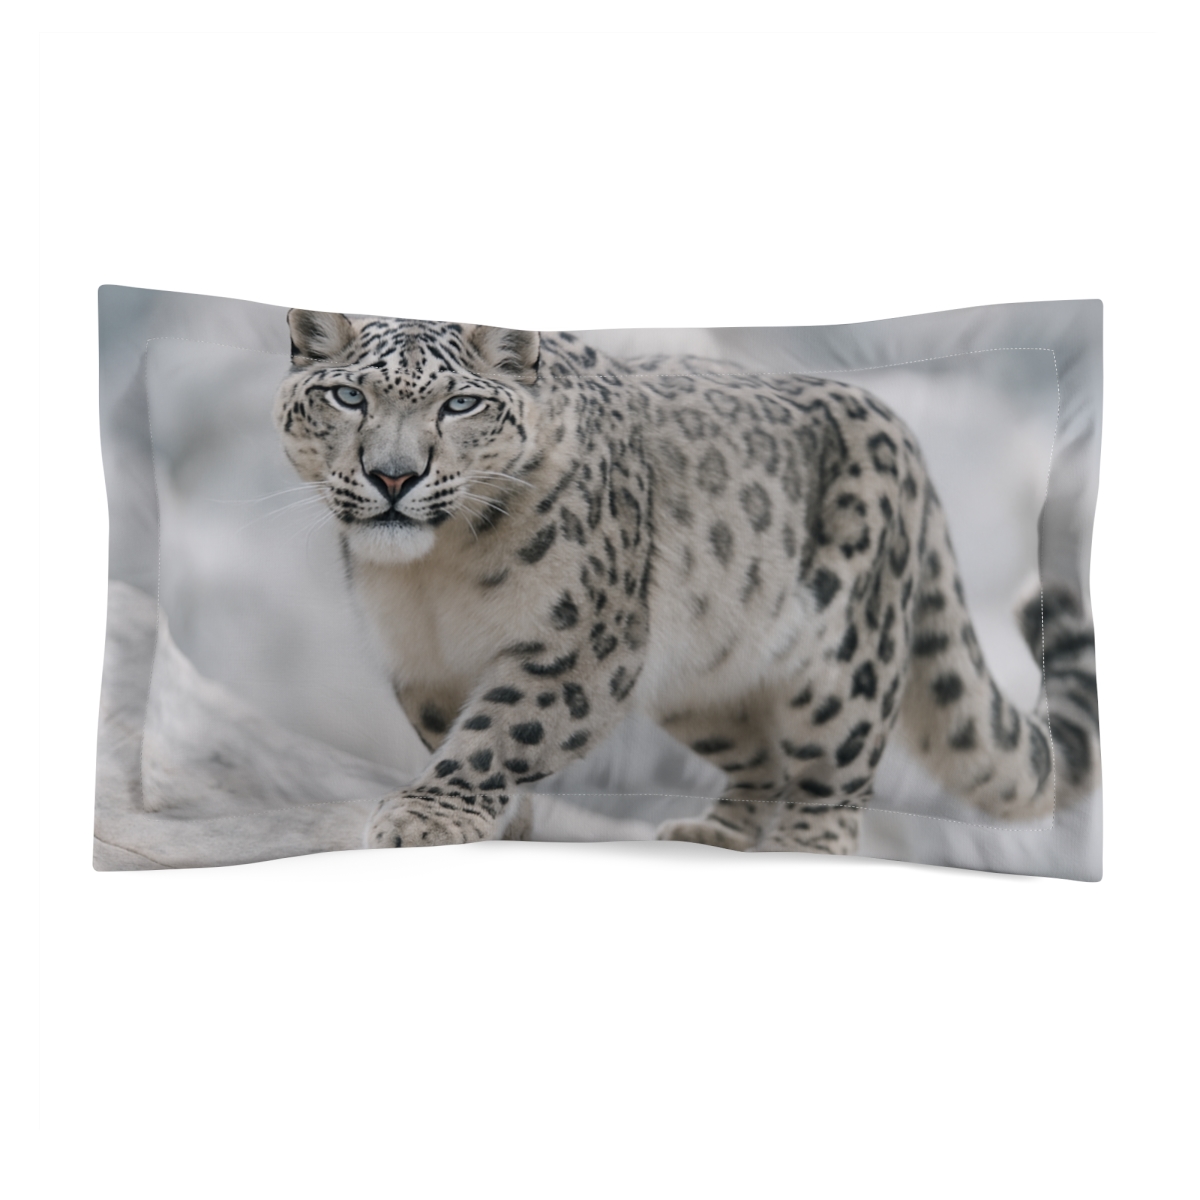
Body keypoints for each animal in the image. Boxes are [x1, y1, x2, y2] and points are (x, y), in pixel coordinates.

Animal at [273, 310, 1099, 854]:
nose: (393, 476)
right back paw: (713, 833)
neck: (434, 577)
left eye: (460, 403)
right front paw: (503, 824)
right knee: (761, 758)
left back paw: (800, 848)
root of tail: (903, 433)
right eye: (349, 397)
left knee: (834, 773)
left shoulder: (577, 647)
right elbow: (461, 733)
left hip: (844, 668)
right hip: (705, 683)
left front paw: (424, 817)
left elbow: (499, 736)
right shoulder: (424, 665)